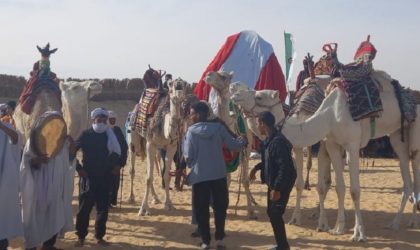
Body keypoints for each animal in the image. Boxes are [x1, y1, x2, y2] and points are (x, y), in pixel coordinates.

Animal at [130, 78, 191, 215]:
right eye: (170, 84)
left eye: (185, 84)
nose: (179, 92)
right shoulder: (150, 144)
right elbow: (148, 178)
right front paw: (143, 209)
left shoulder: (171, 146)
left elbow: (166, 175)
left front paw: (168, 204)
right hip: (133, 141)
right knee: (132, 170)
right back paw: (131, 198)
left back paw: (155, 198)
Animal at [204, 70, 260, 219]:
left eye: (223, 76)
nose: (208, 75)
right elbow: (225, 179)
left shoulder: (244, 152)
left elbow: (245, 181)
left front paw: (251, 211)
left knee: (245, 178)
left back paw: (253, 201)